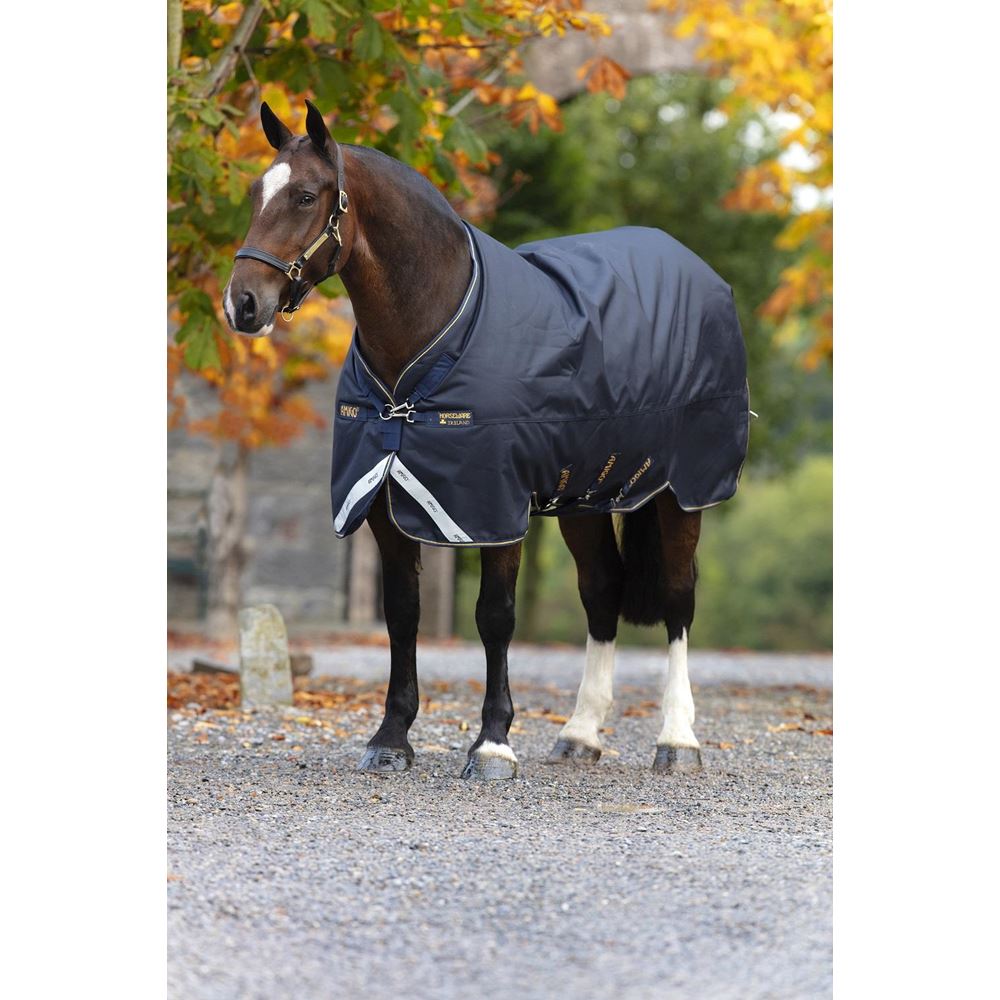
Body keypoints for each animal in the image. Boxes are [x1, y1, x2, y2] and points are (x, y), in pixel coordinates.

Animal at [222, 100, 749, 780]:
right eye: (255, 192)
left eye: (307, 196)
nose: (242, 304)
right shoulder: (384, 507)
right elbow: (402, 614)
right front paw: (391, 738)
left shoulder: (494, 506)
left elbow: (494, 616)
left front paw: (493, 743)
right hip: (585, 495)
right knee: (602, 591)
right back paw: (581, 733)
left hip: (681, 491)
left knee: (680, 600)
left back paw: (678, 740)